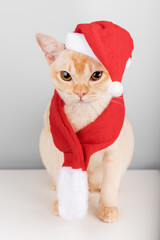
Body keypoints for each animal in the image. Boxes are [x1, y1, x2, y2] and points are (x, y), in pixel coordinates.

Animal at [36, 32, 134, 222]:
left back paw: (96, 187)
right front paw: (63, 206)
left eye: (96, 75)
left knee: (105, 182)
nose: (80, 92)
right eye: (66, 76)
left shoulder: (114, 153)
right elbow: (62, 178)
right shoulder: (60, 150)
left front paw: (108, 207)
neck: (83, 114)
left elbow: (109, 185)